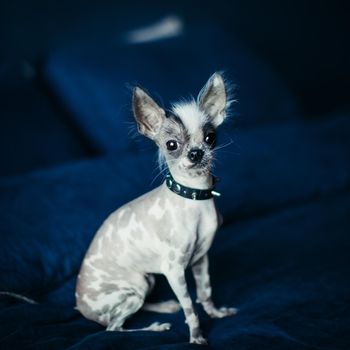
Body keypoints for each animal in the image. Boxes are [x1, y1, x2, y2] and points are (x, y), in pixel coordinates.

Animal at [75, 72, 237, 344]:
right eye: (171, 145)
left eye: (210, 137)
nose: (196, 153)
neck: (194, 197)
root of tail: (82, 309)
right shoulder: (174, 270)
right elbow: (190, 308)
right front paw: (196, 337)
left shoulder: (201, 259)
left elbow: (205, 293)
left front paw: (216, 313)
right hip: (134, 287)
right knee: (113, 328)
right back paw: (156, 327)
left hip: (146, 279)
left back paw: (164, 306)